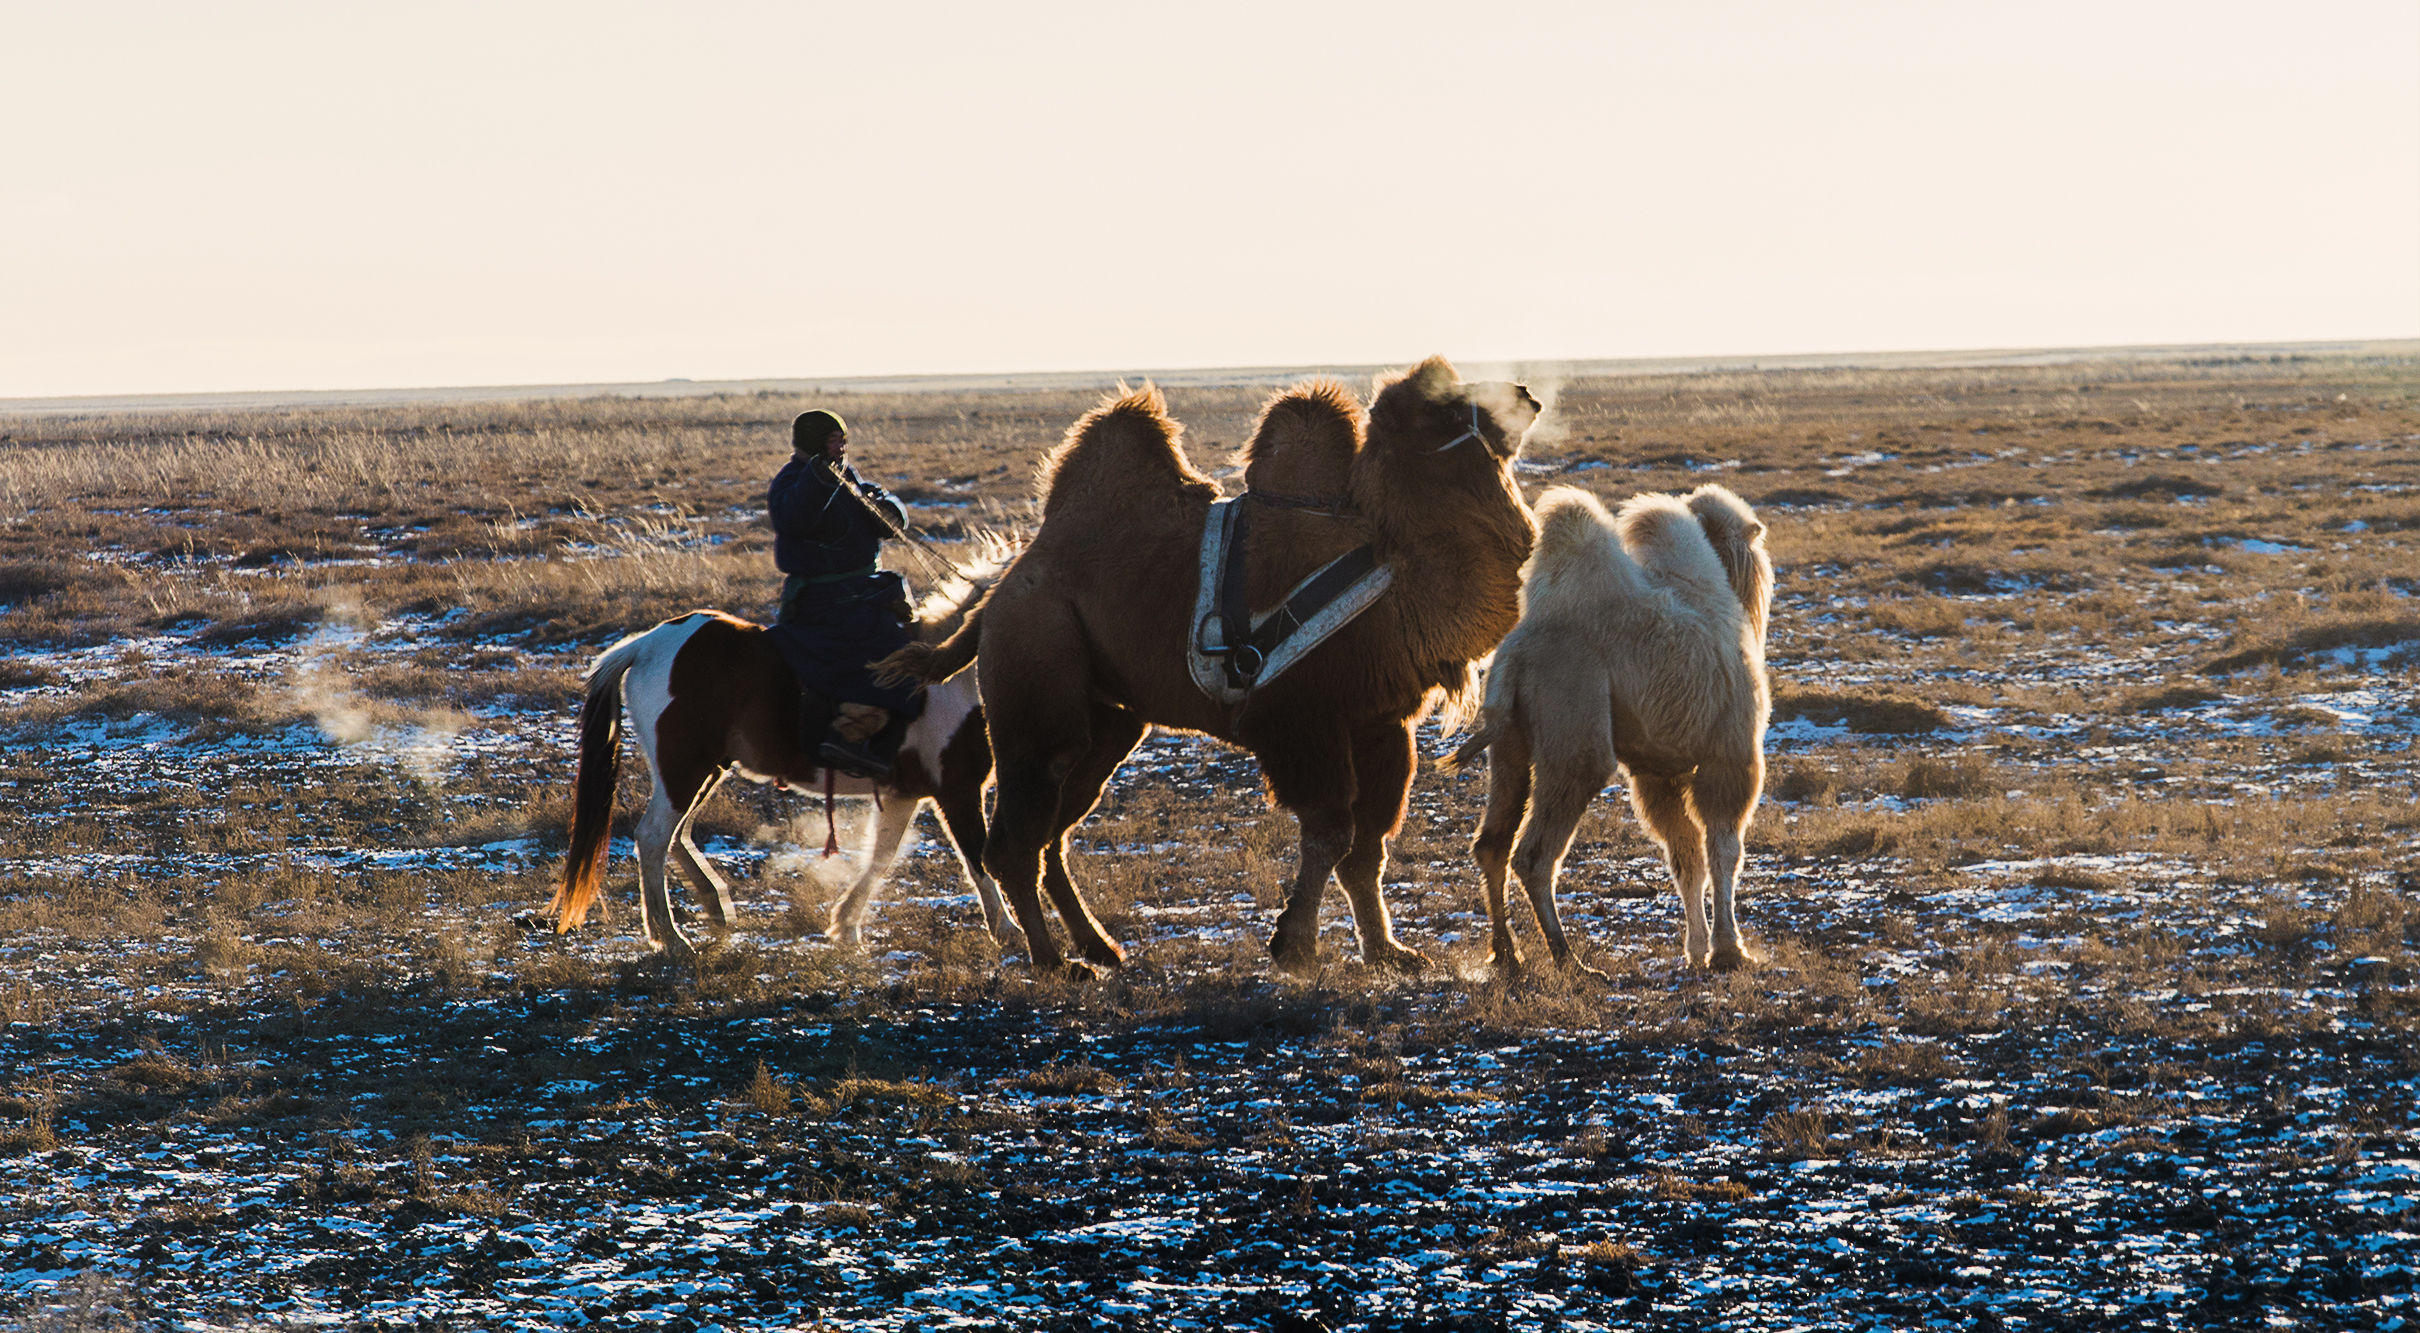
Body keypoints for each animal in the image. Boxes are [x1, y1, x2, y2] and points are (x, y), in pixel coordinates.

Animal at [546, 570, 1001, 958]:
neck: (953, 678)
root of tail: (645, 645)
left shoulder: (903, 794)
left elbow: (881, 857)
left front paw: (846, 927)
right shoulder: (958, 790)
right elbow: (979, 860)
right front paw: (1010, 935)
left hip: (706, 769)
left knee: (677, 834)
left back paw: (714, 908)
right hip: (684, 767)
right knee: (655, 836)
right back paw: (671, 937)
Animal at [885, 360, 1529, 977]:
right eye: (1450, 407)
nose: (1526, 392)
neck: (1394, 564)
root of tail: (999, 591)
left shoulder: (1380, 725)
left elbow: (1367, 848)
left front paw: (1388, 953)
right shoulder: (1301, 723)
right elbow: (1331, 833)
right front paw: (1295, 949)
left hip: (1112, 719)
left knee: (1055, 834)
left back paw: (1100, 949)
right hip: (1039, 669)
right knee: (1019, 834)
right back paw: (1056, 964)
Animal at [1452, 486, 1781, 977]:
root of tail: (1516, 654)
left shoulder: (1657, 772)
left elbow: (1686, 857)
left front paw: (1696, 950)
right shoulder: (1730, 751)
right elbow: (1723, 850)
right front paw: (1728, 950)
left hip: (1510, 745)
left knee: (1491, 842)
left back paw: (1508, 955)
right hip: (1576, 731)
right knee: (1534, 852)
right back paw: (1570, 959)